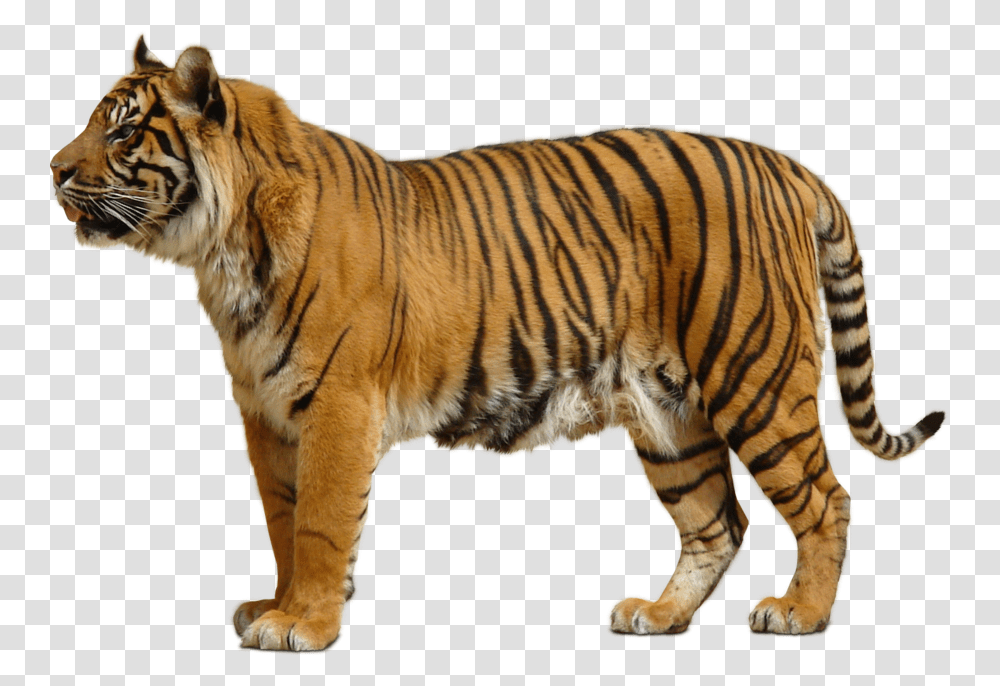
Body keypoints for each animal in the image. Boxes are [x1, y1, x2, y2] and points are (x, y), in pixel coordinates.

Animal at [50, 37, 944, 651]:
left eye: (122, 133)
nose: (53, 168)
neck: (222, 250)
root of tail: (790, 167)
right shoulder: (267, 413)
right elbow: (283, 518)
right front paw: (279, 604)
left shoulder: (338, 404)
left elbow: (322, 521)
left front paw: (302, 624)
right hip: (667, 414)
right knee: (716, 521)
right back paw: (658, 615)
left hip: (754, 377)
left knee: (826, 499)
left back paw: (800, 613)